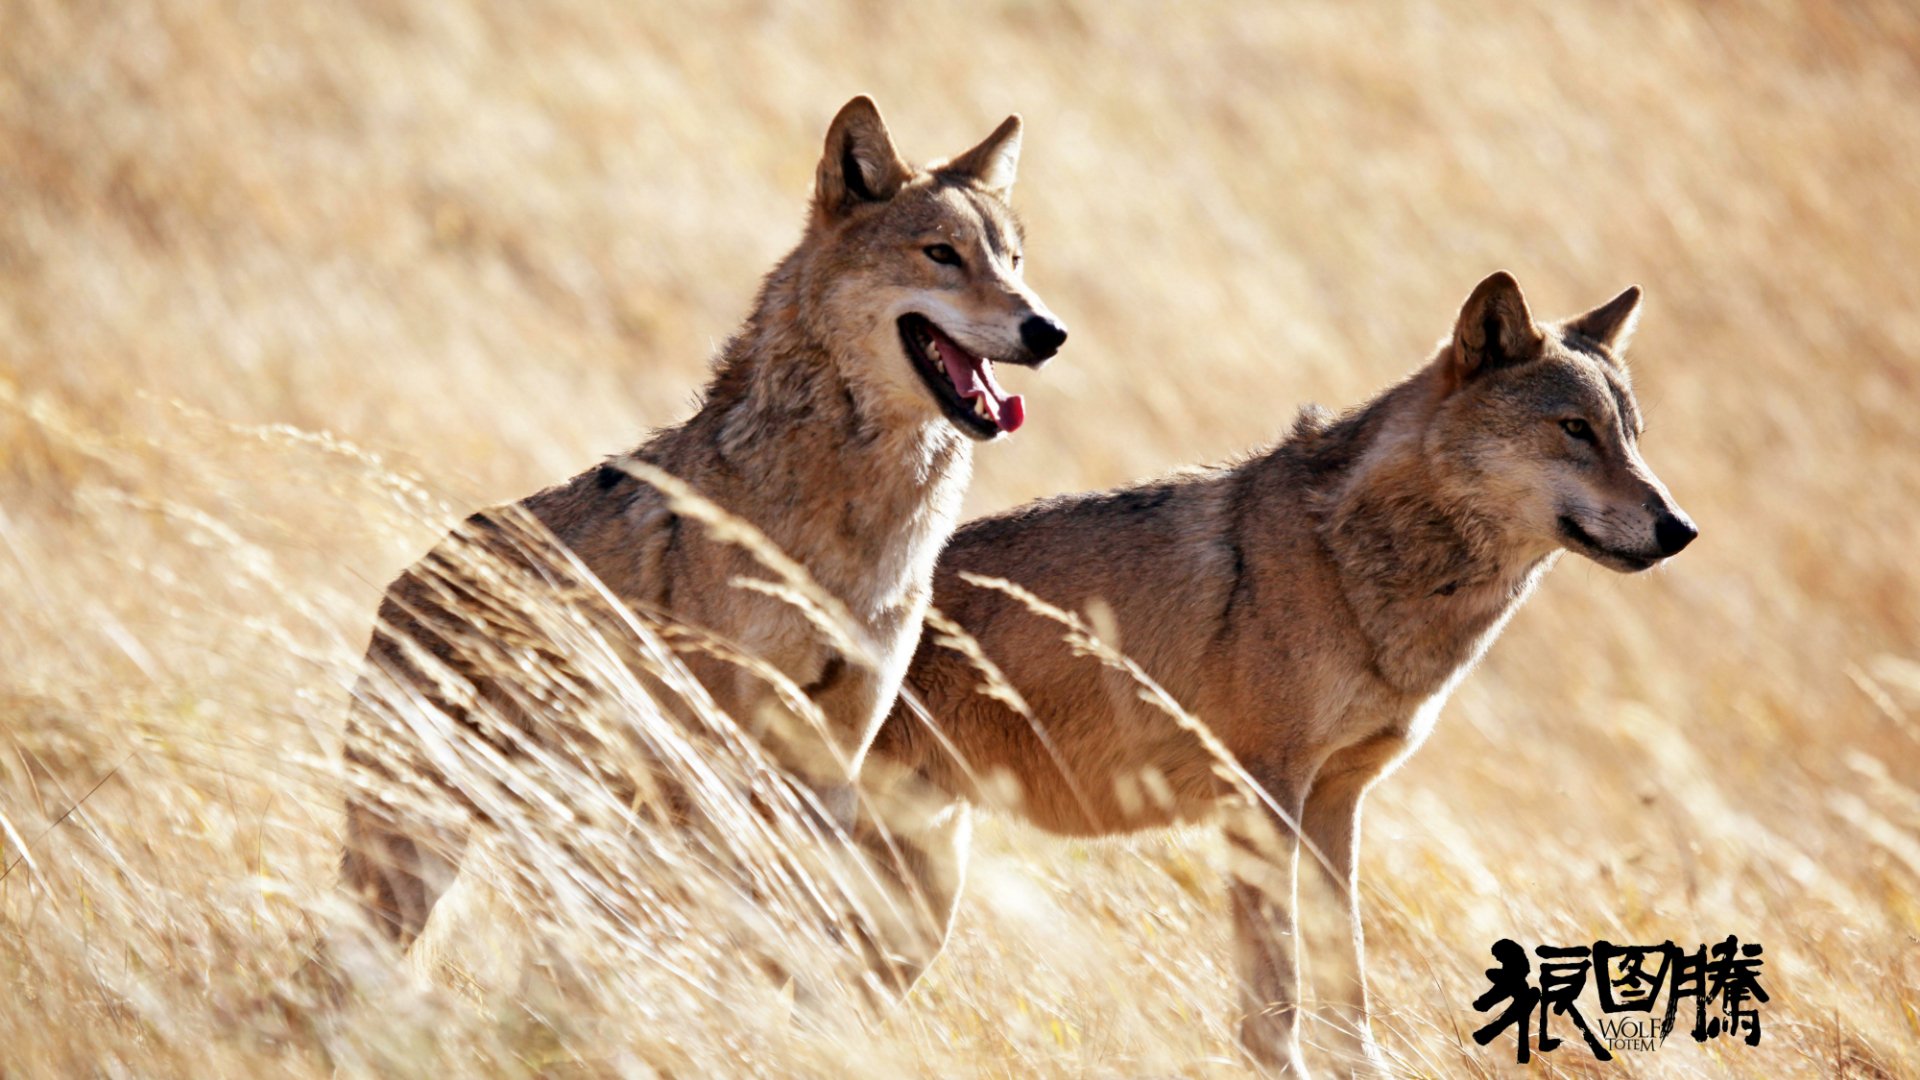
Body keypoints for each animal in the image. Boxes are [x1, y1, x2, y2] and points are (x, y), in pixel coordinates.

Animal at [334, 94, 1067, 949]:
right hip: (416, 851)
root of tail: (407, 577)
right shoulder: (713, 745)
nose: (1047, 331)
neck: (857, 531)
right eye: (942, 255)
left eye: (1012, 261)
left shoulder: (835, 758)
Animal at [867, 269, 1697, 1068]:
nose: (1680, 528)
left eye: (1632, 437)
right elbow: (1276, 1002)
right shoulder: (1263, 797)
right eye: (1576, 430)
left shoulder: (1337, 799)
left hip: (919, 907)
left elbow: (1348, 989)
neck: (1354, 572)